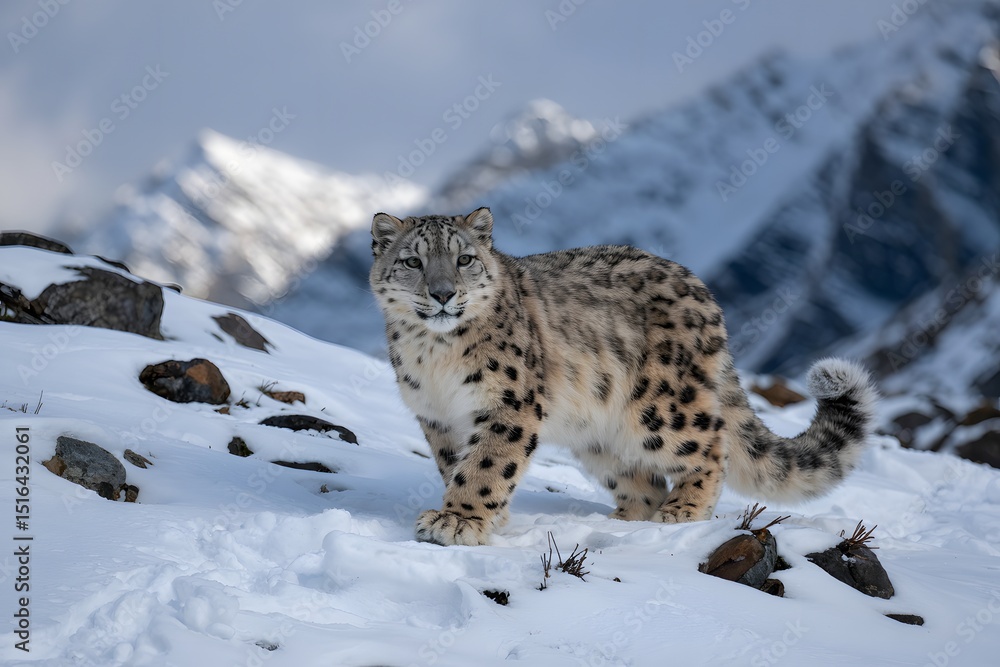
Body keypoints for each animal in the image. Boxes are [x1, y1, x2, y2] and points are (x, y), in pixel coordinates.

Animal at [369, 207, 878, 546]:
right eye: (413, 262)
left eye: (464, 259)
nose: (442, 293)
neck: (435, 355)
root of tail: (704, 293)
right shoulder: (437, 417)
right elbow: (457, 464)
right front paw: (479, 519)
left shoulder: (509, 403)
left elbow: (487, 465)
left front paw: (458, 522)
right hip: (598, 433)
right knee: (644, 482)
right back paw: (621, 522)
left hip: (662, 407)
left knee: (711, 445)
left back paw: (683, 511)